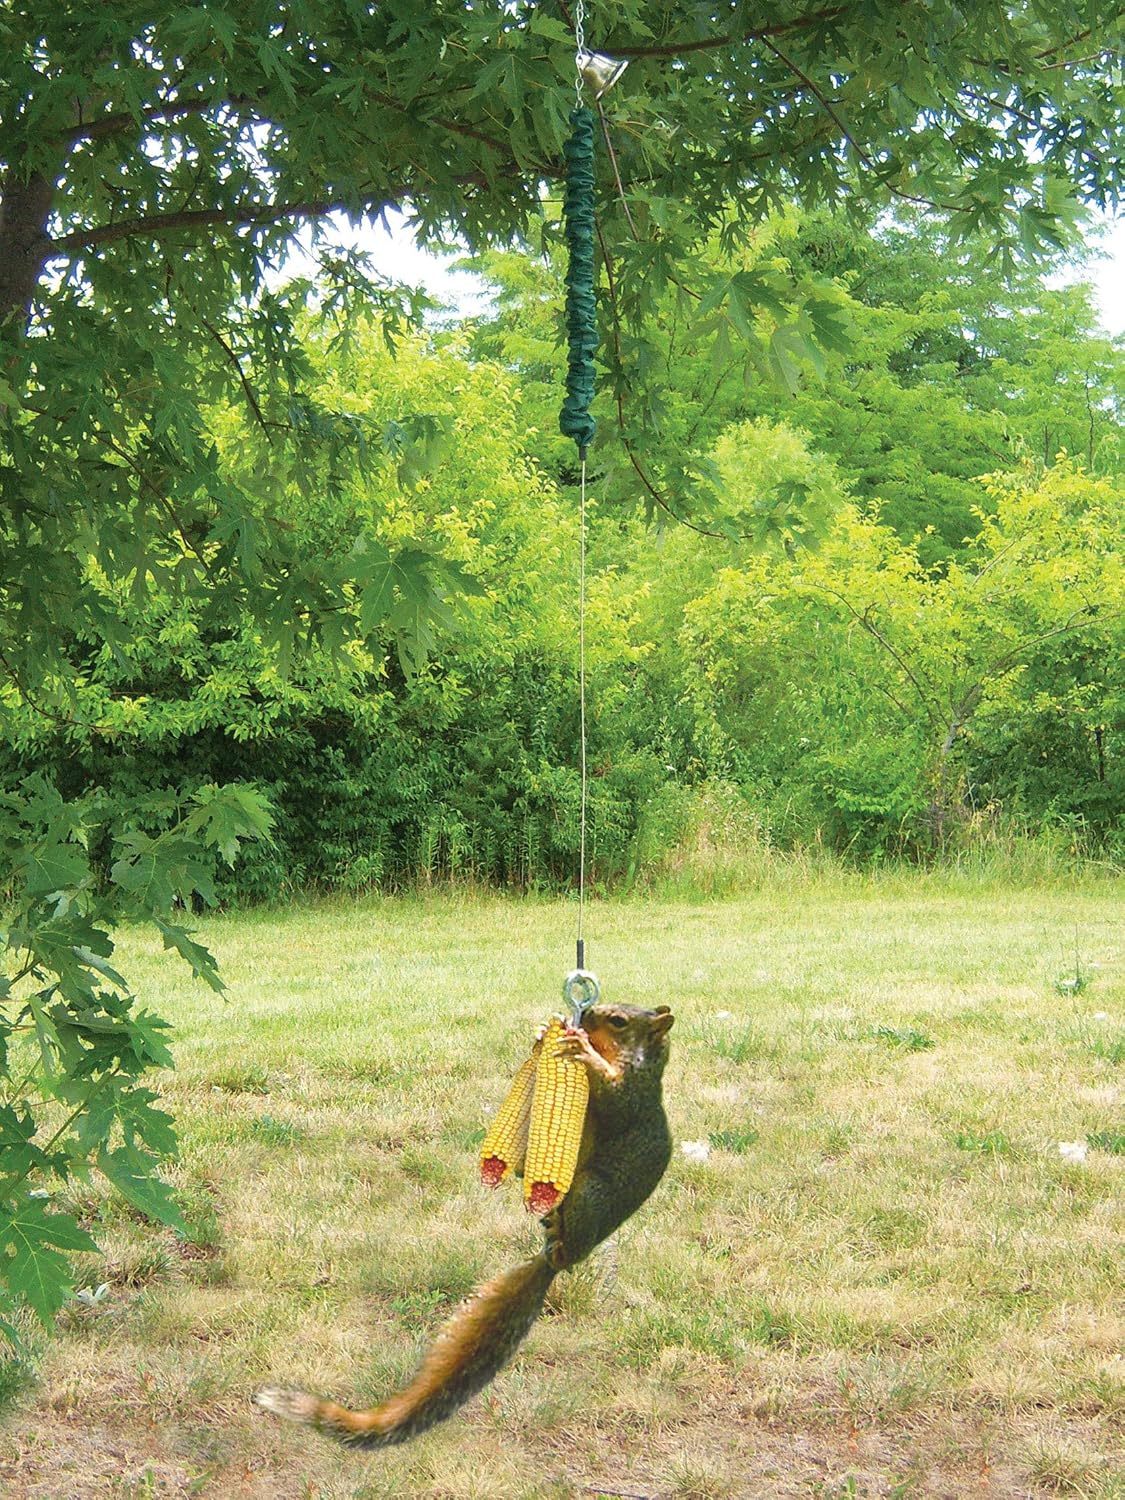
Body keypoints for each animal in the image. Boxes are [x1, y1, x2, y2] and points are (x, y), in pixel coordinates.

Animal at [254, 1000, 674, 1448]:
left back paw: (561, 1240)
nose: (587, 1011)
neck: (640, 1060)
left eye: (619, 1021)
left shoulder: (634, 1095)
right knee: (528, 1175)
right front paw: (544, 1036)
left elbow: (615, 1099)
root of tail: (555, 1262)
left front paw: (582, 1050)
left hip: (590, 1193)